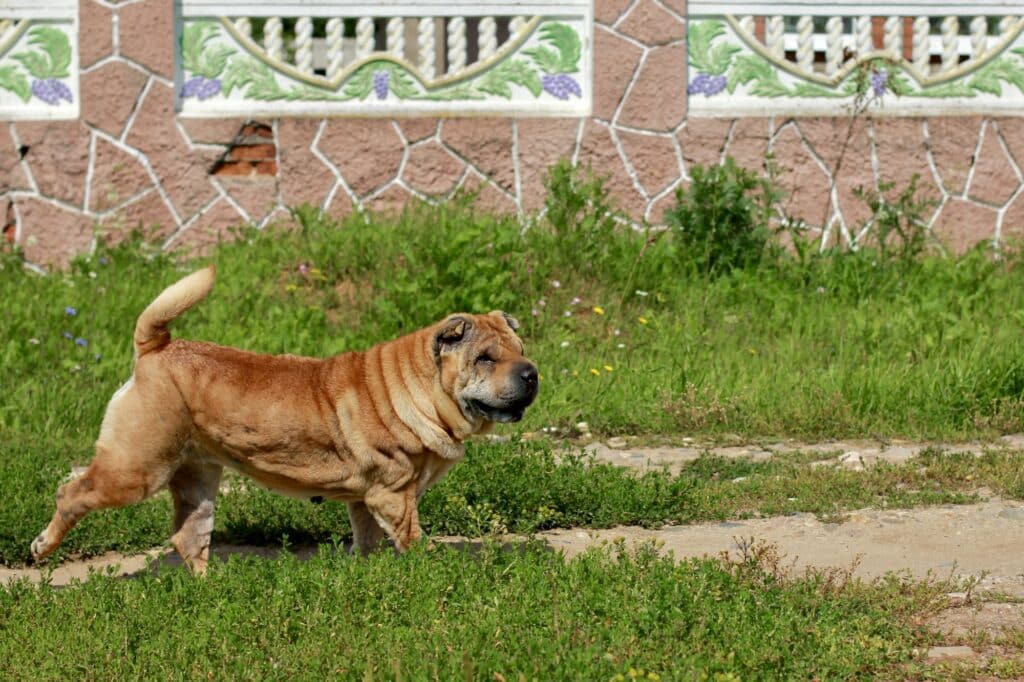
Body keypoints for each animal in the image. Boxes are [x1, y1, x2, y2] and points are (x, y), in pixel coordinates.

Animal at [29, 266, 540, 569]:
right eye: (486, 358)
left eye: (521, 350)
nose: (531, 373)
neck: (421, 388)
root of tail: (156, 348)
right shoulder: (394, 495)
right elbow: (410, 538)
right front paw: (425, 573)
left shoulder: (367, 499)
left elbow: (367, 541)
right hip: (136, 467)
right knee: (72, 494)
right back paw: (42, 547)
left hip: (197, 478)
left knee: (188, 537)